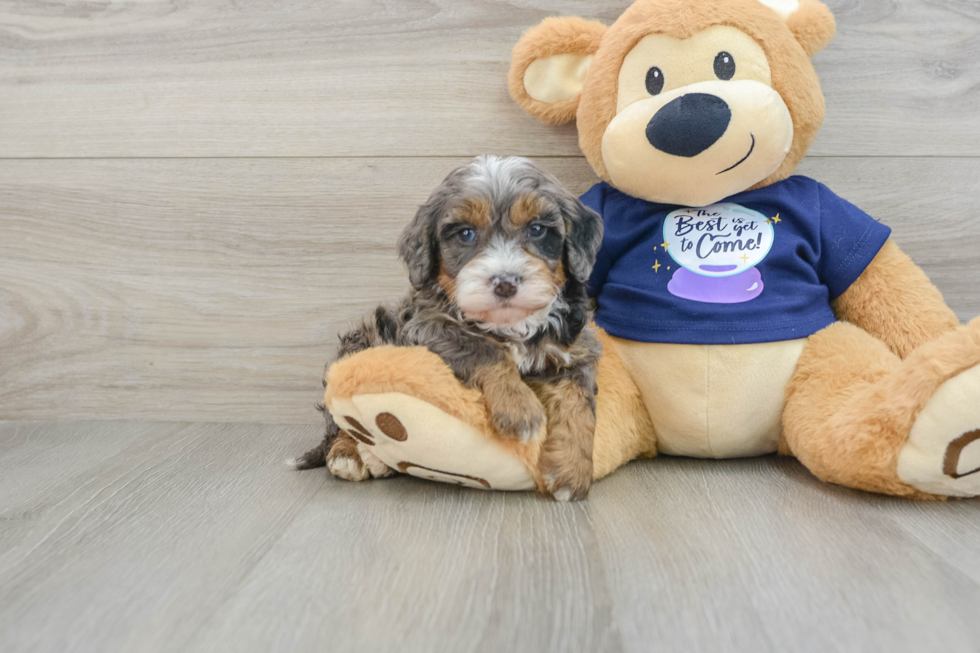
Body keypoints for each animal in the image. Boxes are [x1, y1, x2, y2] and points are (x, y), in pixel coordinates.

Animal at [288, 155, 600, 502]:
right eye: (465, 234)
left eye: (536, 229)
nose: (505, 283)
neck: (509, 324)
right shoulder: (427, 327)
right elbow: (485, 349)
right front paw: (519, 408)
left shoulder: (577, 348)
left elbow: (580, 403)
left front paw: (572, 471)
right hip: (359, 344)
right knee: (340, 425)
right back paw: (348, 456)